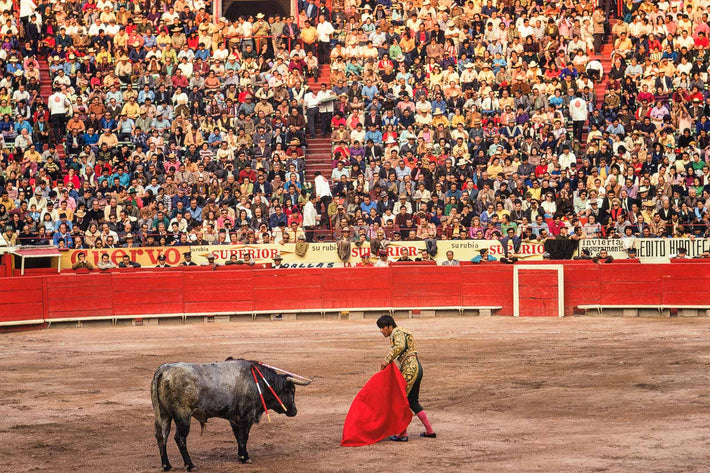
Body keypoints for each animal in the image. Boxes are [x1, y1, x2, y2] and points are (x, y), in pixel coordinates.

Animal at [152, 358, 310, 468]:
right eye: (291, 391)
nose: (294, 411)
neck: (261, 382)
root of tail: (165, 368)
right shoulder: (247, 416)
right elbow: (244, 436)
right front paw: (246, 458)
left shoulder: (234, 418)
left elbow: (238, 437)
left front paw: (241, 456)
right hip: (183, 416)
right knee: (179, 438)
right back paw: (190, 465)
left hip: (164, 414)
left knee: (161, 436)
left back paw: (166, 465)